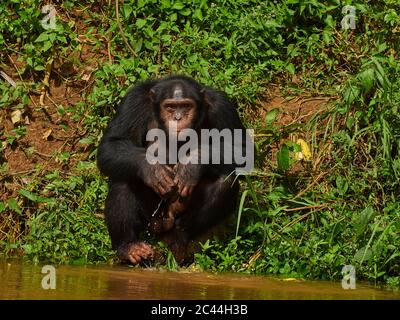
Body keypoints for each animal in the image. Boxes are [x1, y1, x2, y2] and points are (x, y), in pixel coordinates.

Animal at [97, 75, 247, 264]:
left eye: (186, 106)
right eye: (170, 107)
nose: (177, 117)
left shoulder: (222, 106)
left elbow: (241, 149)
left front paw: (191, 166)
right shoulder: (133, 101)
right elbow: (111, 144)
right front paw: (152, 169)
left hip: (172, 216)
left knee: (225, 181)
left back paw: (176, 238)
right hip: (151, 219)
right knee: (122, 181)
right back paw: (129, 246)